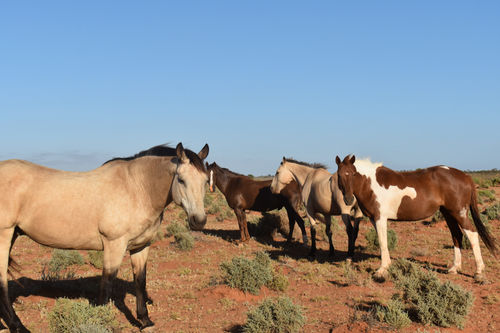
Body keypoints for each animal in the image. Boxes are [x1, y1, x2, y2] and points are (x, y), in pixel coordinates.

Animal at [0, 142, 209, 330]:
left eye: (206, 181)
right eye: (181, 179)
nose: (198, 221)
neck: (137, 188)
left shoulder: (141, 246)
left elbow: (140, 281)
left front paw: (145, 321)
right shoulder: (114, 245)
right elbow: (107, 285)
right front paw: (101, 322)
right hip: (4, 235)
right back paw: (17, 326)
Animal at [334, 154, 498, 278]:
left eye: (353, 174)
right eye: (340, 175)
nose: (348, 199)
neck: (370, 184)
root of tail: (465, 176)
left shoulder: (380, 218)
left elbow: (382, 242)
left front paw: (381, 270)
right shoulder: (374, 219)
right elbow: (383, 242)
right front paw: (386, 266)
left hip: (459, 213)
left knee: (472, 233)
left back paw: (478, 271)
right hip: (448, 213)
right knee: (457, 235)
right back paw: (454, 268)